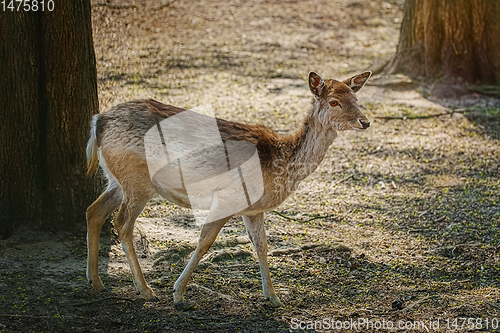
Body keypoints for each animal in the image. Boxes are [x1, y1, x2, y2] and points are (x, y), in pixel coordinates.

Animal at [86, 69, 374, 306]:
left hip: (117, 179)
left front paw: (273, 297)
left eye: (356, 99)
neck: (280, 163)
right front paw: (178, 293)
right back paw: (145, 289)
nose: (365, 121)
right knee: (122, 223)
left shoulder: (253, 208)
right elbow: (205, 241)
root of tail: (98, 121)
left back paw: (95, 281)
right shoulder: (228, 197)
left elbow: (261, 245)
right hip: (138, 180)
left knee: (94, 211)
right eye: (333, 102)